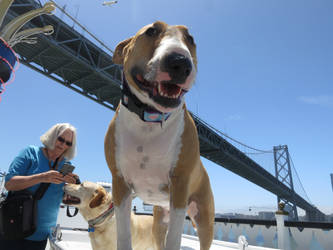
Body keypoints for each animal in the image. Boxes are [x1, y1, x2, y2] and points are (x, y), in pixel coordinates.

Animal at [104, 21, 215, 250]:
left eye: (190, 38)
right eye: (151, 31)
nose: (180, 62)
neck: (150, 119)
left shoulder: (180, 186)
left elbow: (174, 238)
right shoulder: (120, 185)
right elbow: (123, 234)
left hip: (204, 219)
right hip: (159, 221)